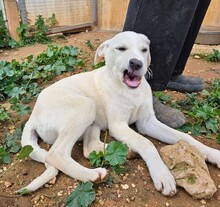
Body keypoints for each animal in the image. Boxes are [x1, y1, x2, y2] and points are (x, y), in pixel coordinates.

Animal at [19, 32, 219, 196]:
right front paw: (162, 175)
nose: (136, 63)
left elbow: (185, 137)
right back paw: (92, 175)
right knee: (56, 154)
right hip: (86, 106)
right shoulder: (118, 126)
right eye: (121, 48)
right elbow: (146, 143)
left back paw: (126, 151)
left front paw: (213, 153)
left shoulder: (147, 122)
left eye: (144, 50)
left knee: (89, 148)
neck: (131, 92)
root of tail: (33, 116)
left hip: (92, 121)